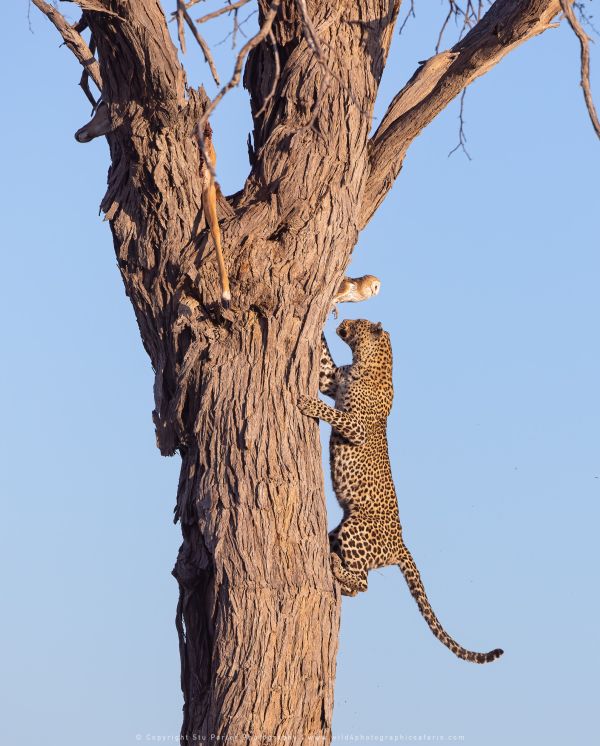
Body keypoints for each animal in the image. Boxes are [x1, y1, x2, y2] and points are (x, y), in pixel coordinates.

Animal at [298, 318, 504, 664]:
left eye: (357, 324)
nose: (343, 323)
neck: (365, 363)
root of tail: (400, 544)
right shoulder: (331, 379)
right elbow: (325, 364)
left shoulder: (356, 426)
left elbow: (334, 413)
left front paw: (307, 403)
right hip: (343, 528)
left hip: (356, 527)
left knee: (363, 584)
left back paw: (338, 568)